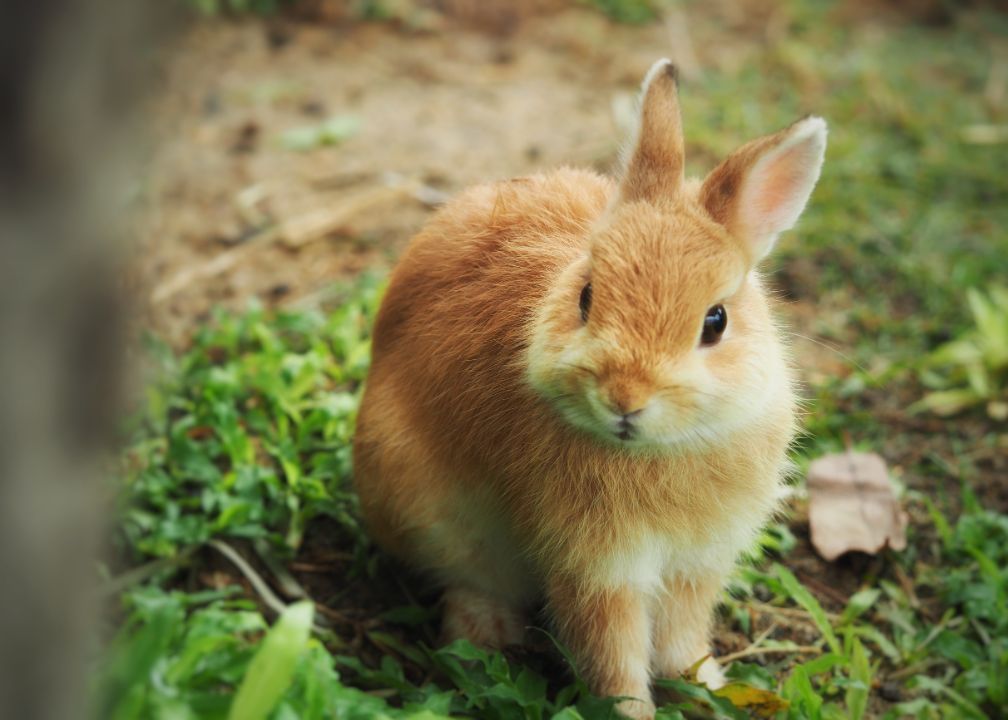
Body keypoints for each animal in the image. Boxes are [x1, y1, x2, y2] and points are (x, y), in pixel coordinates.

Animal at [352, 58, 826, 719]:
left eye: (716, 321)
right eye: (586, 297)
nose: (624, 399)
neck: (660, 450)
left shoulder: (697, 563)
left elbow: (680, 641)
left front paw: (708, 687)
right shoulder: (597, 570)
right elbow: (613, 657)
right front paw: (636, 712)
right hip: (429, 510)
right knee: (469, 581)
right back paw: (484, 640)